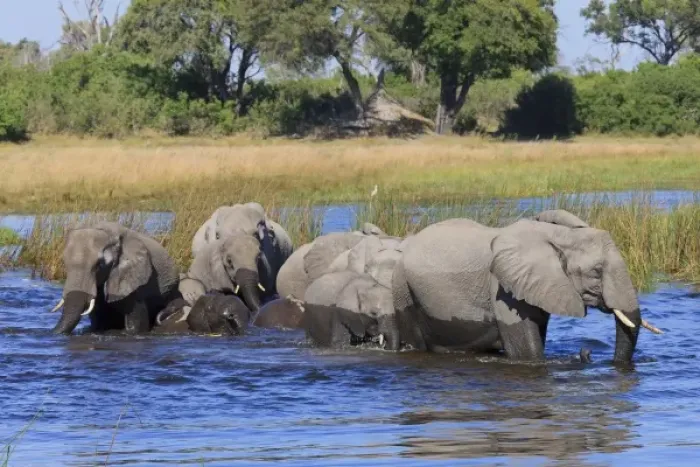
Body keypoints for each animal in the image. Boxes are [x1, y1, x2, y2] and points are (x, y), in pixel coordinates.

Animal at [392, 210, 663, 362]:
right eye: (596, 271)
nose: (586, 352)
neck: (558, 237)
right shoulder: (502, 287)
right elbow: (527, 352)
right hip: (401, 286)